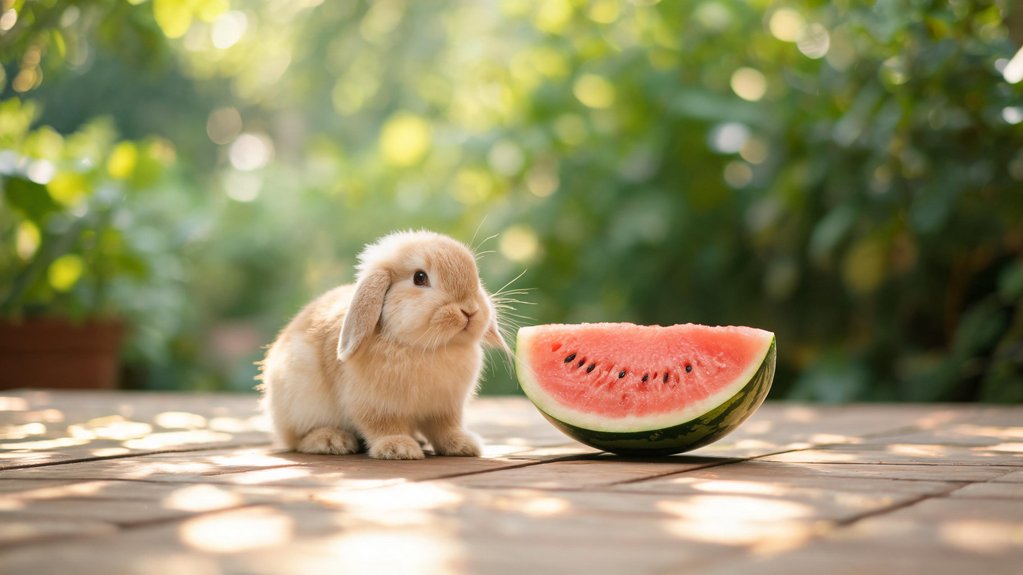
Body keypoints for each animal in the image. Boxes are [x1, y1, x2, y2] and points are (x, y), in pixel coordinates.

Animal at [259, 230, 509, 460]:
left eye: (476, 276)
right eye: (420, 277)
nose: (469, 310)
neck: (427, 348)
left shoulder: (445, 408)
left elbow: (446, 428)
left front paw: (463, 445)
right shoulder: (374, 405)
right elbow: (382, 426)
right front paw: (399, 448)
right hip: (300, 397)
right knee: (297, 438)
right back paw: (331, 441)